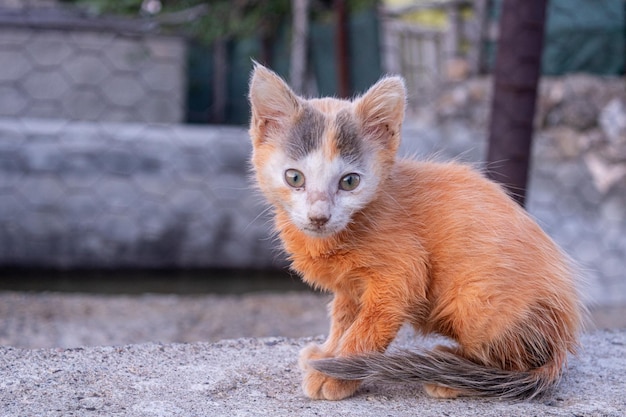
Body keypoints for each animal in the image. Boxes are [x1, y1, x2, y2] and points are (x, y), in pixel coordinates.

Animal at [246, 62, 584, 400]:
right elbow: (343, 315)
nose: (319, 217)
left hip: (477, 301)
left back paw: (451, 372)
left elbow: (368, 326)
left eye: (350, 181)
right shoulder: (350, 285)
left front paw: (337, 372)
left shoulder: (401, 274)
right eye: (294, 177)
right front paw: (329, 352)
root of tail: (563, 342)